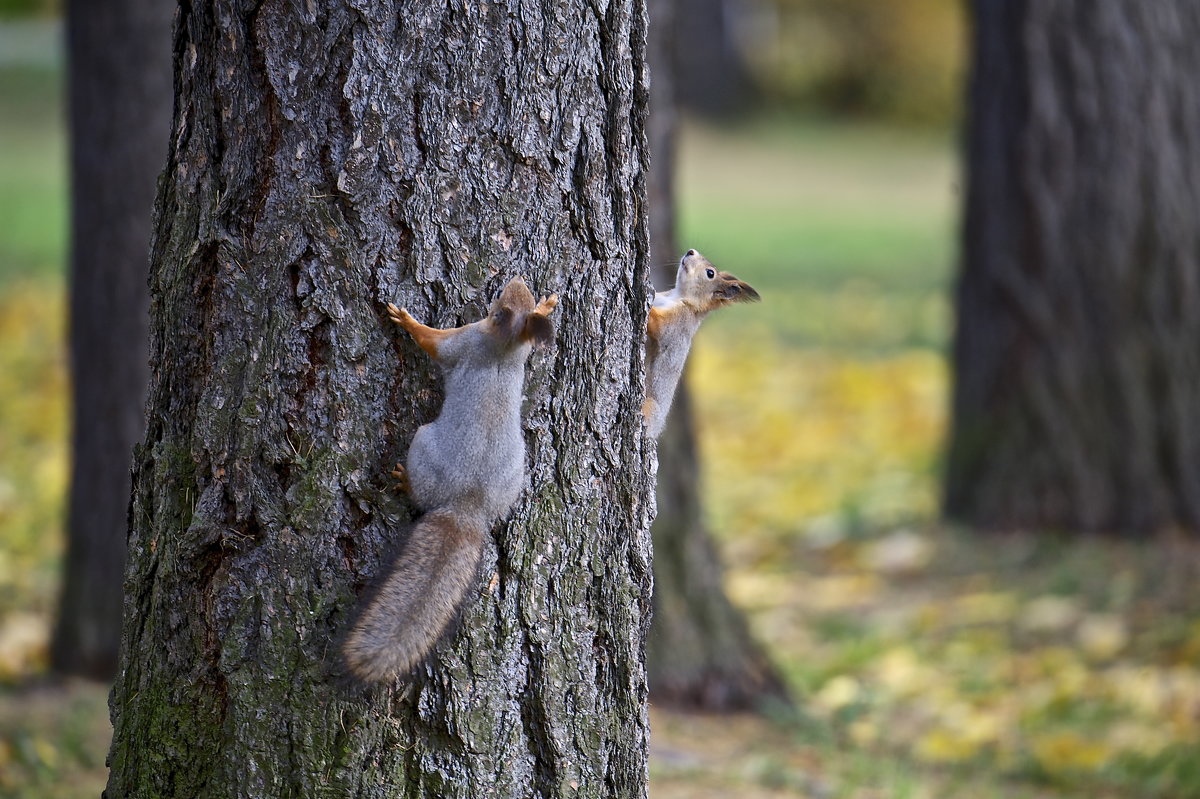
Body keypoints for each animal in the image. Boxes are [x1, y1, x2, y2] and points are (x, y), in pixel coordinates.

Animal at [343, 277, 556, 681]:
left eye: (499, 300)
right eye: (516, 293)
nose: (516, 279)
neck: (506, 346)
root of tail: (467, 504)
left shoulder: (464, 340)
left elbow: (433, 341)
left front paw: (405, 319)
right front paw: (548, 307)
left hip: (423, 443)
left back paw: (404, 481)